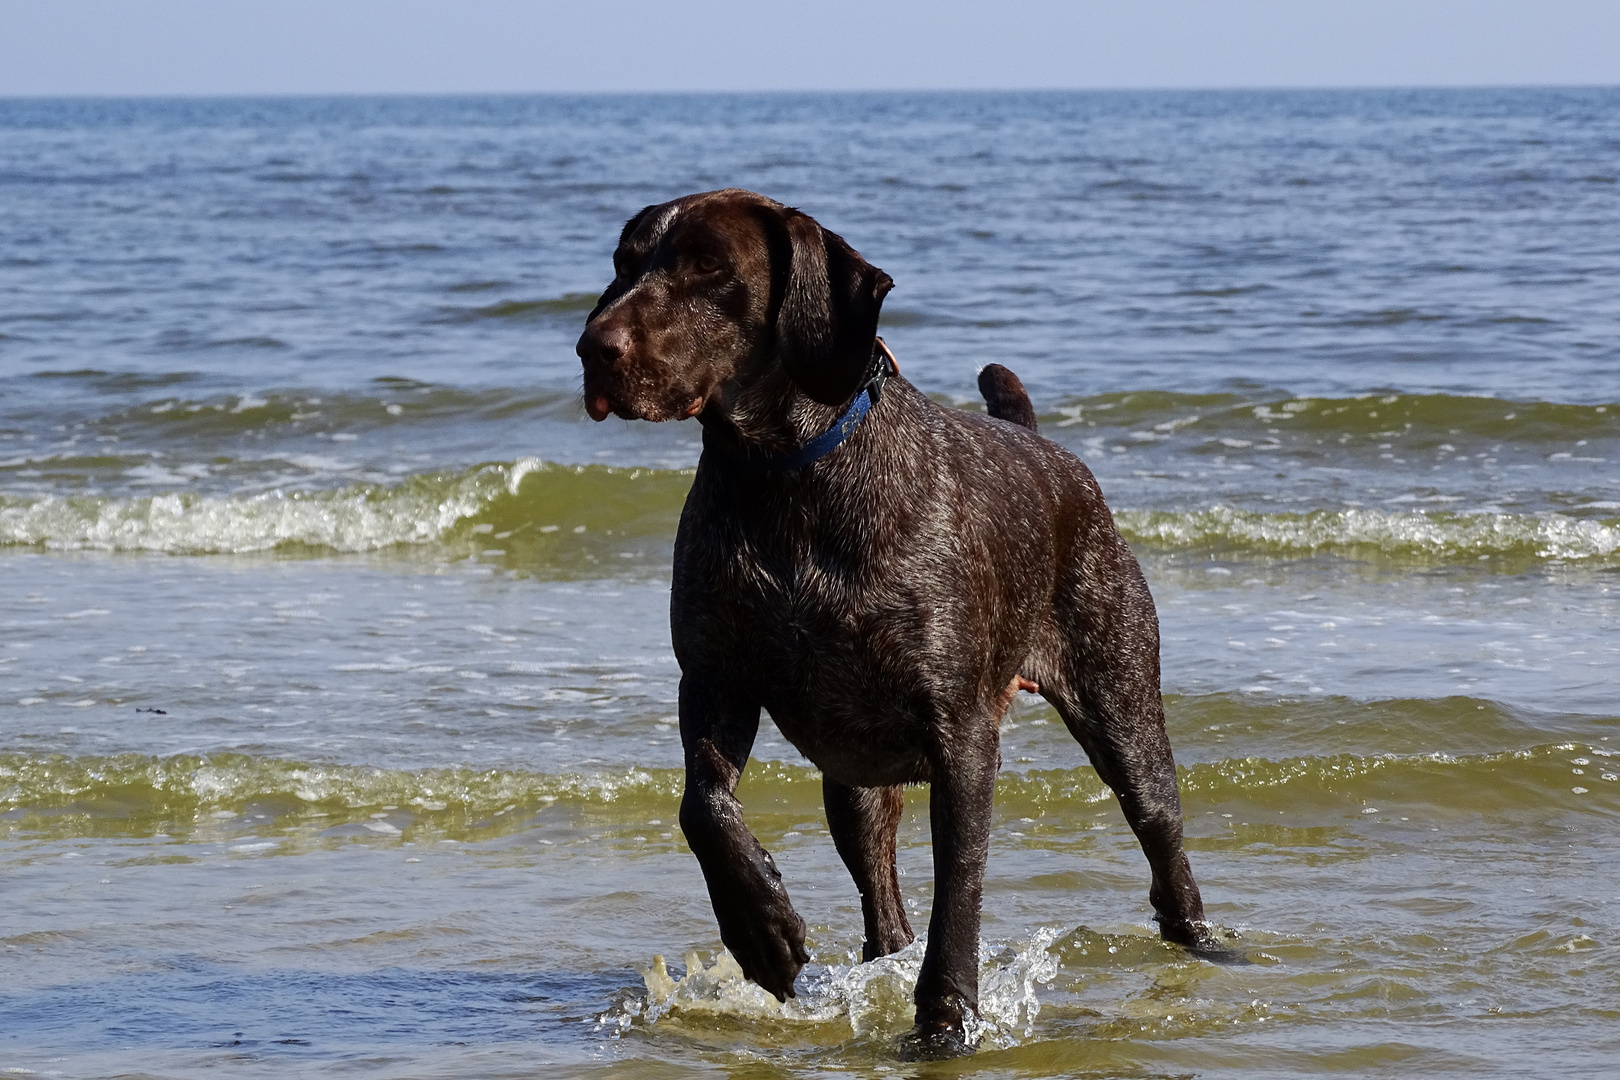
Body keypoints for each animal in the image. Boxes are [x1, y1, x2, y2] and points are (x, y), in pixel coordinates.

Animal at [576, 190, 1218, 1049]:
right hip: (853, 781)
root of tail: (1052, 454)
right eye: (623, 262)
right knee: (882, 906)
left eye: (709, 265)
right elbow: (703, 808)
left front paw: (947, 1016)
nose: (592, 346)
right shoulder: (713, 680)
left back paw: (1206, 944)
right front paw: (761, 927)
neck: (786, 481)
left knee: (1164, 847)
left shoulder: (961, 738)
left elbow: (960, 891)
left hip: (1123, 711)